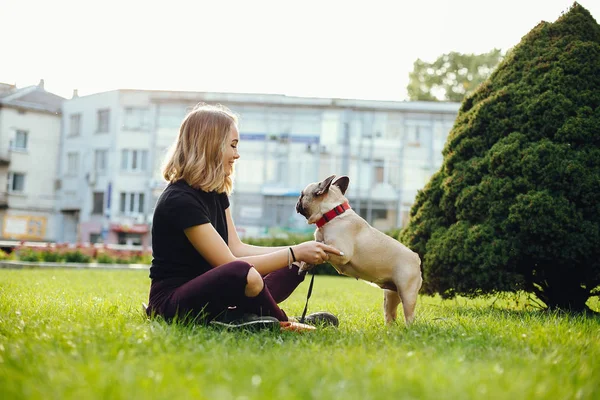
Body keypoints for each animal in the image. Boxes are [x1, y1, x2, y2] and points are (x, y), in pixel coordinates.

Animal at [296, 175, 422, 324]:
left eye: (302, 195)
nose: (297, 202)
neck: (332, 214)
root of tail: (416, 258)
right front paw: (305, 264)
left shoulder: (341, 252)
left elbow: (325, 252)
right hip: (391, 295)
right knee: (390, 315)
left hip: (407, 294)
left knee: (409, 316)